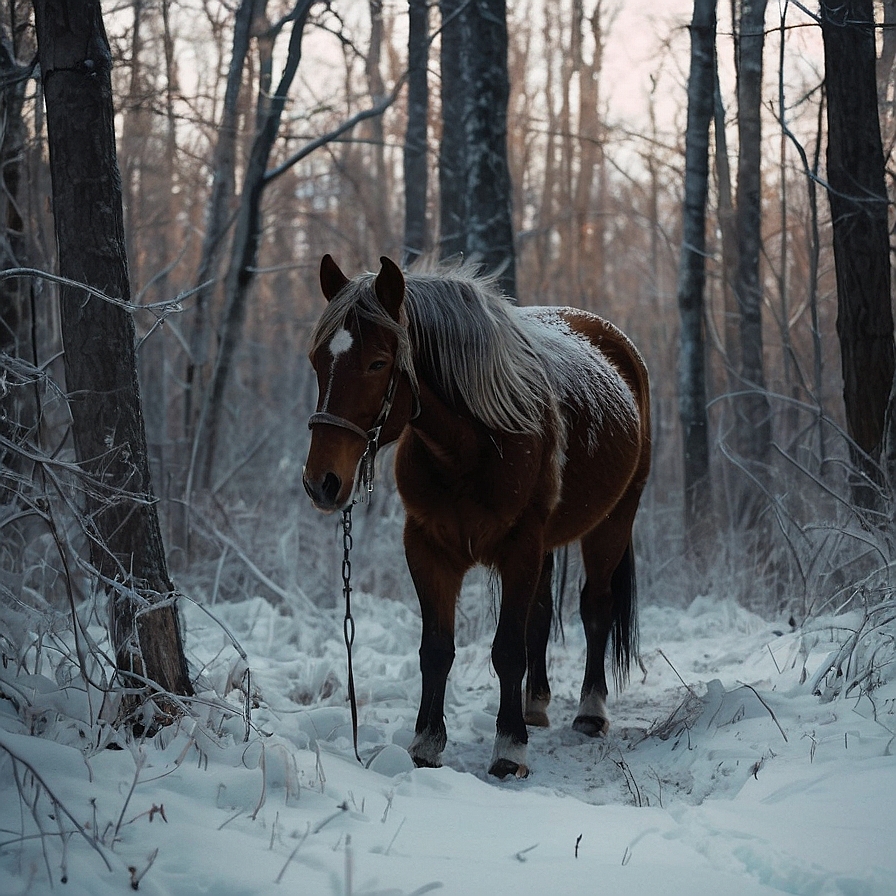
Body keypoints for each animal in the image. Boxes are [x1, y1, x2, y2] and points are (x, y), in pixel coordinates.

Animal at [302, 255, 651, 779]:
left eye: (378, 363)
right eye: (317, 360)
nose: (321, 482)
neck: (472, 446)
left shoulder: (520, 547)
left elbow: (506, 649)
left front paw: (509, 750)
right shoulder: (427, 547)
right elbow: (436, 649)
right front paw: (426, 743)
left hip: (611, 523)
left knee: (596, 609)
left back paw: (590, 712)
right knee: (541, 615)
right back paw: (534, 705)